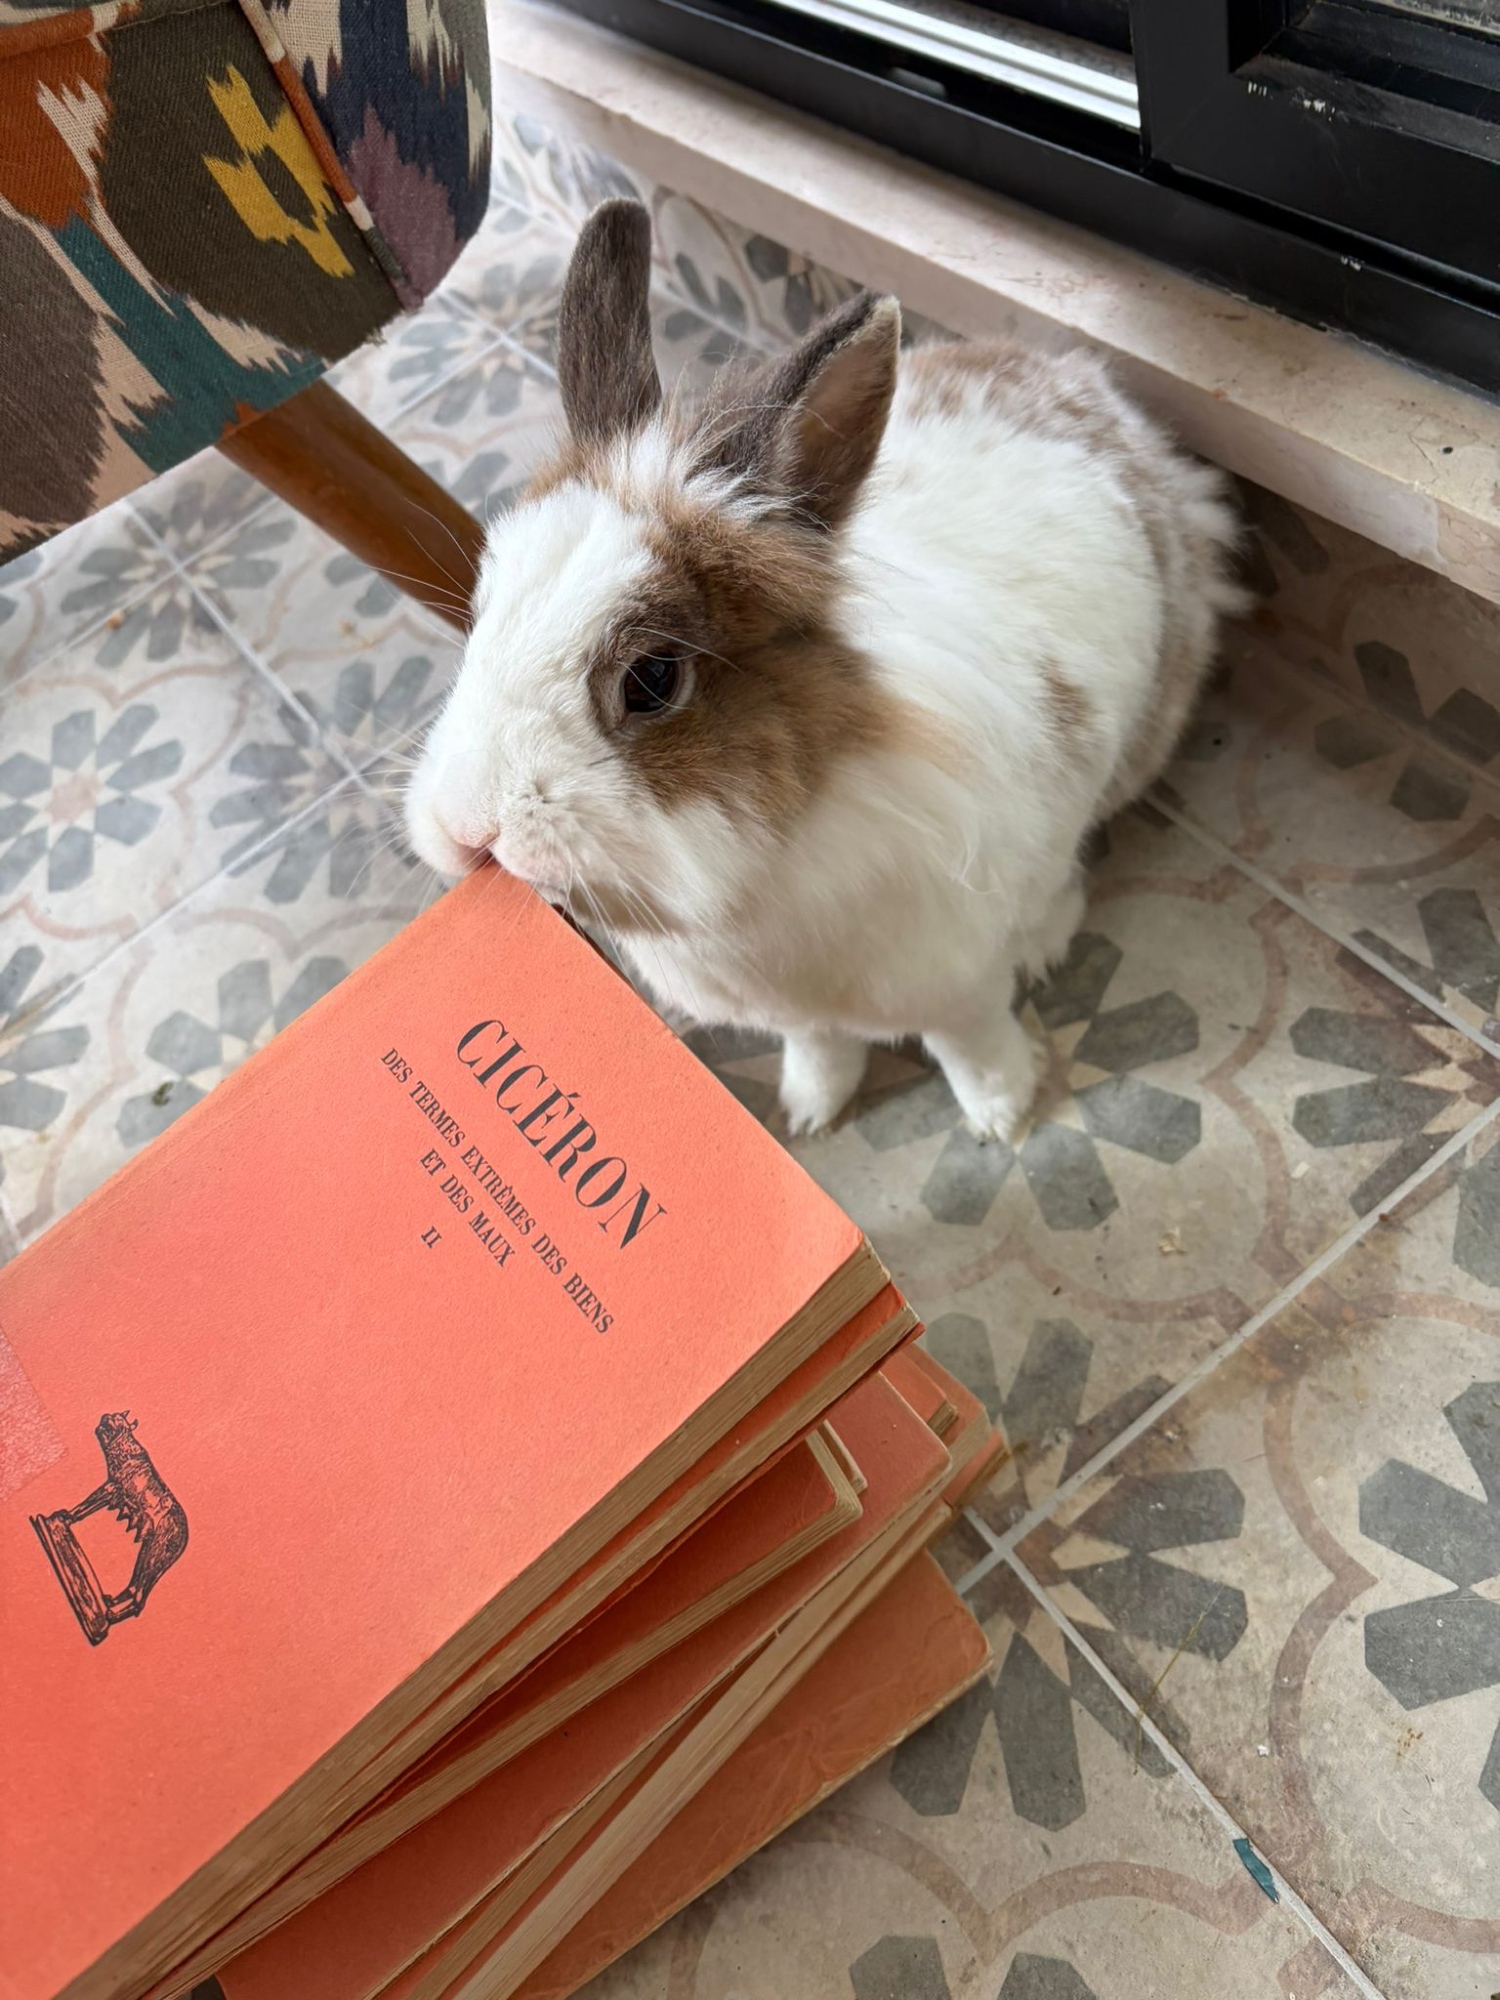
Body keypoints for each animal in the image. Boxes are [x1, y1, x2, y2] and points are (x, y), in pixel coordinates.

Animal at [405, 197, 1246, 1144]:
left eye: (652, 680)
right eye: (481, 610)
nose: (465, 827)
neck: (763, 877)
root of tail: (1094, 391)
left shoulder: (955, 975)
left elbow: (970, 1042)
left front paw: (1003, 1116)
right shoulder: (793, 1011)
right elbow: (818, 1045)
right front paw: (810, 1110)